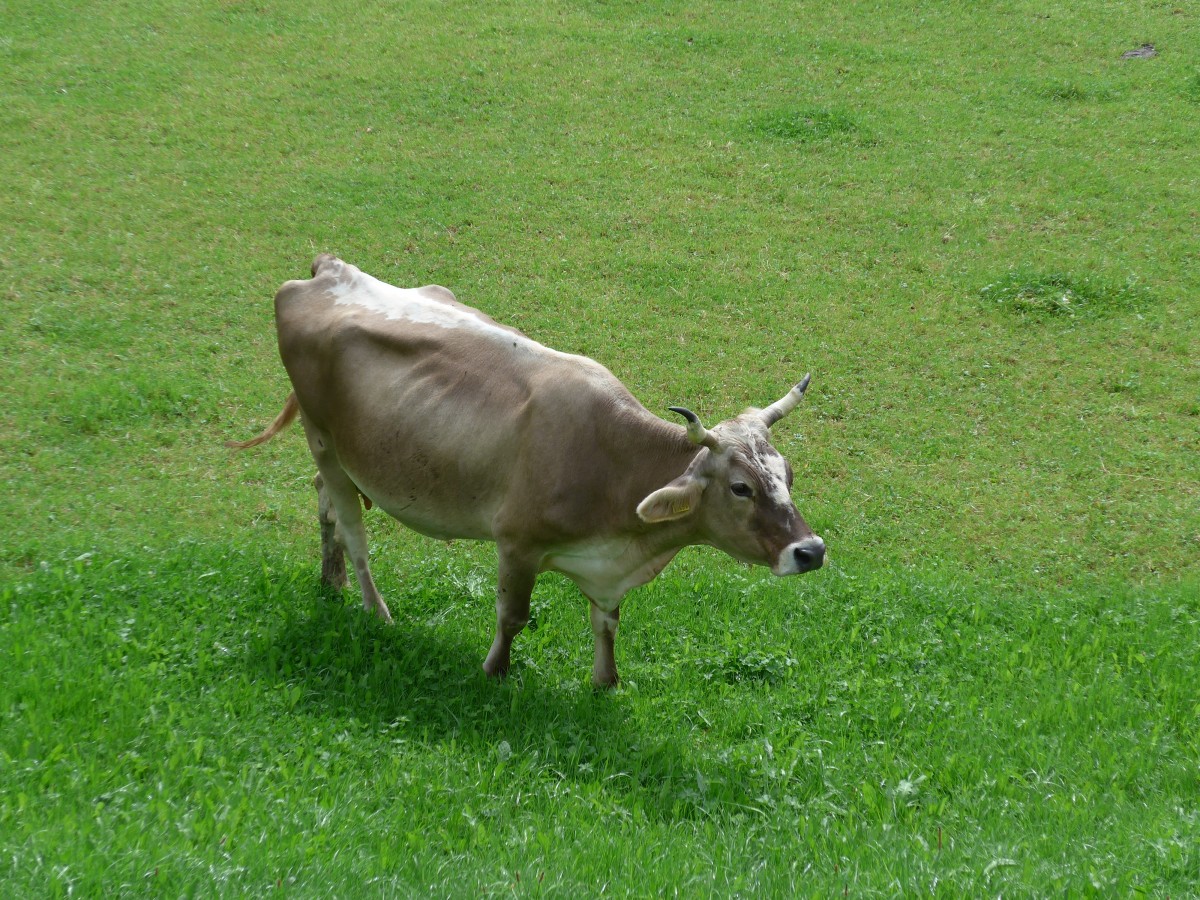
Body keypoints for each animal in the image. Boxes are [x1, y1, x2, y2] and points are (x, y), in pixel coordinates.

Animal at [230, 255, 825, 686]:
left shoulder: (607, 568)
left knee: (325, 505)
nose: (811, 551)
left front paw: (605, 682)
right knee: (354, 532)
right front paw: (494, 672)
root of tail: (329, 268)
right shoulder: (516, 544)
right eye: (741, 487)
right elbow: (513, 616)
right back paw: (377, 611)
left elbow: (607, 620)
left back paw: (329, 582)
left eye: (789, 475)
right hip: (324, 441)